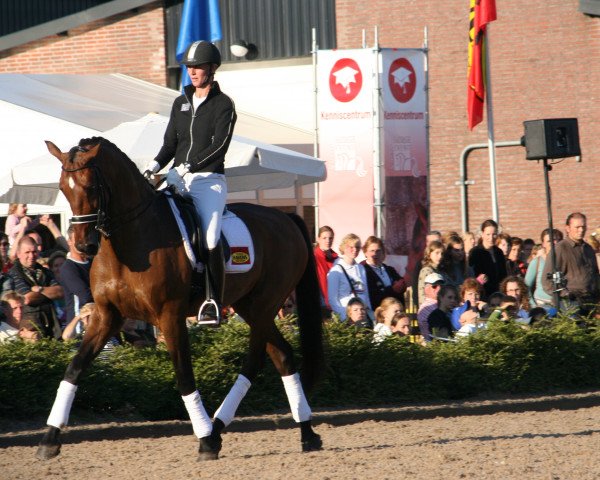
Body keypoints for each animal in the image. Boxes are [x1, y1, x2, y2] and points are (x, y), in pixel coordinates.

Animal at [36, 137, 328, 460]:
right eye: (63, 188)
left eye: (90, 186)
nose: (83, 246)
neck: (130, 243)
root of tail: (285, 217)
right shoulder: (107, 315)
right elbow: (74, 369)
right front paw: (49, 439)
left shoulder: (169, 315)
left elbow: (184, 376)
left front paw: (205, 442)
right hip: (250, 306)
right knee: (282, 356)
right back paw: (299, 432)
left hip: (263, 306)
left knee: (257, 360)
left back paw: (222, 430)